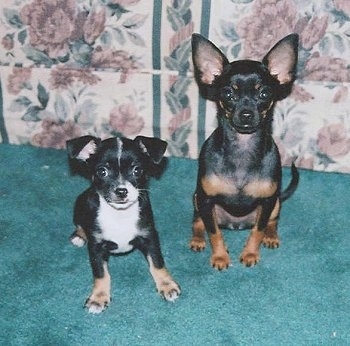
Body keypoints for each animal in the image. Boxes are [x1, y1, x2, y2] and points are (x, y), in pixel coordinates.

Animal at [66, 135, 180, 314]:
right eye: (102, 172)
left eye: (137, 170)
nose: (121, 191)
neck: (119, 214)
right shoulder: (96, 246)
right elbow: (101, 273)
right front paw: (98, 298)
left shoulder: (150, 237)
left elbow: (157, 263)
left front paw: (167, 285)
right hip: (80, 203)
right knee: (79, 224)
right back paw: (79, 236)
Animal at [190, 33, 300, 270]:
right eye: (228, 93)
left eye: (265, 93)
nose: (247, 113)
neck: (242, 148)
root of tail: (236, 224)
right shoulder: (205, 200)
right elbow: (214, 232)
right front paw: (220, 256)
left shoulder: (267, 202)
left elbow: (258, 230)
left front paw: (250, 253)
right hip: (196, 200)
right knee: (199, 222)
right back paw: (197, 239)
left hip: (276, 202)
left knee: (271, 221)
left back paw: (271, 236)